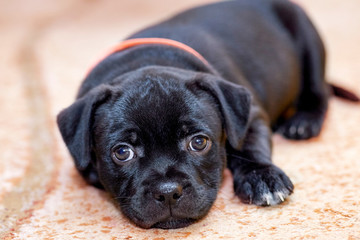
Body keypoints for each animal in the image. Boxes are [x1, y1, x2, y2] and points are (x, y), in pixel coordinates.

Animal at [57, 0, 358, 229]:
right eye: (122, 152)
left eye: (199, 142)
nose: (168, 192)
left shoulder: (250, 115)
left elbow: (247, 147)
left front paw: (262, 177)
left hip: (308, 40)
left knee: (319, 90)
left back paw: (303, 121)